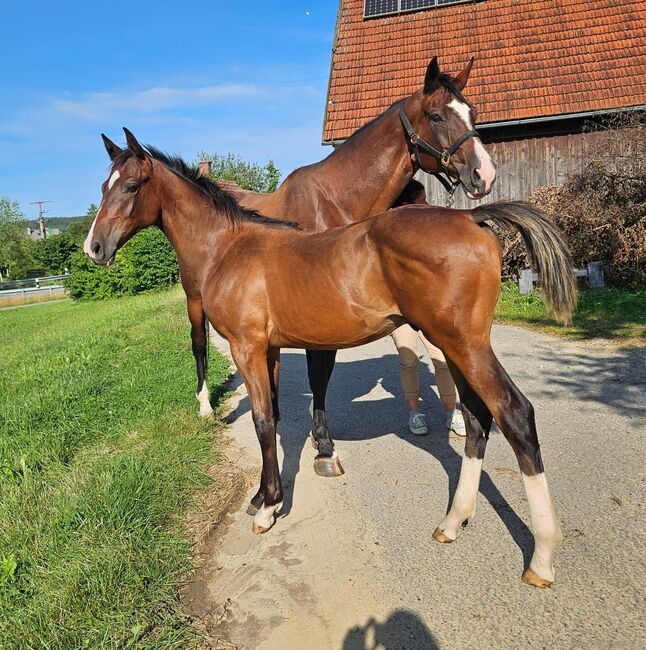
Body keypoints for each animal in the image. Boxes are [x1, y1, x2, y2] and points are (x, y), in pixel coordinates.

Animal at [86, 129, 576, 584]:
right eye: (102, 186)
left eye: (131, 186)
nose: (95, 247)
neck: (230, 247)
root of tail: (473, 217)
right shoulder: (270, 349)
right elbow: (275, 418)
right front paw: (262, 496)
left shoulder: (247, 348)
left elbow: (262, 421)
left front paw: (268, 508)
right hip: (455, 346)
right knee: (477, 418)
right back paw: (453, 522)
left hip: (465, 343)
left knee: (514, 413)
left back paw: (542, 558)